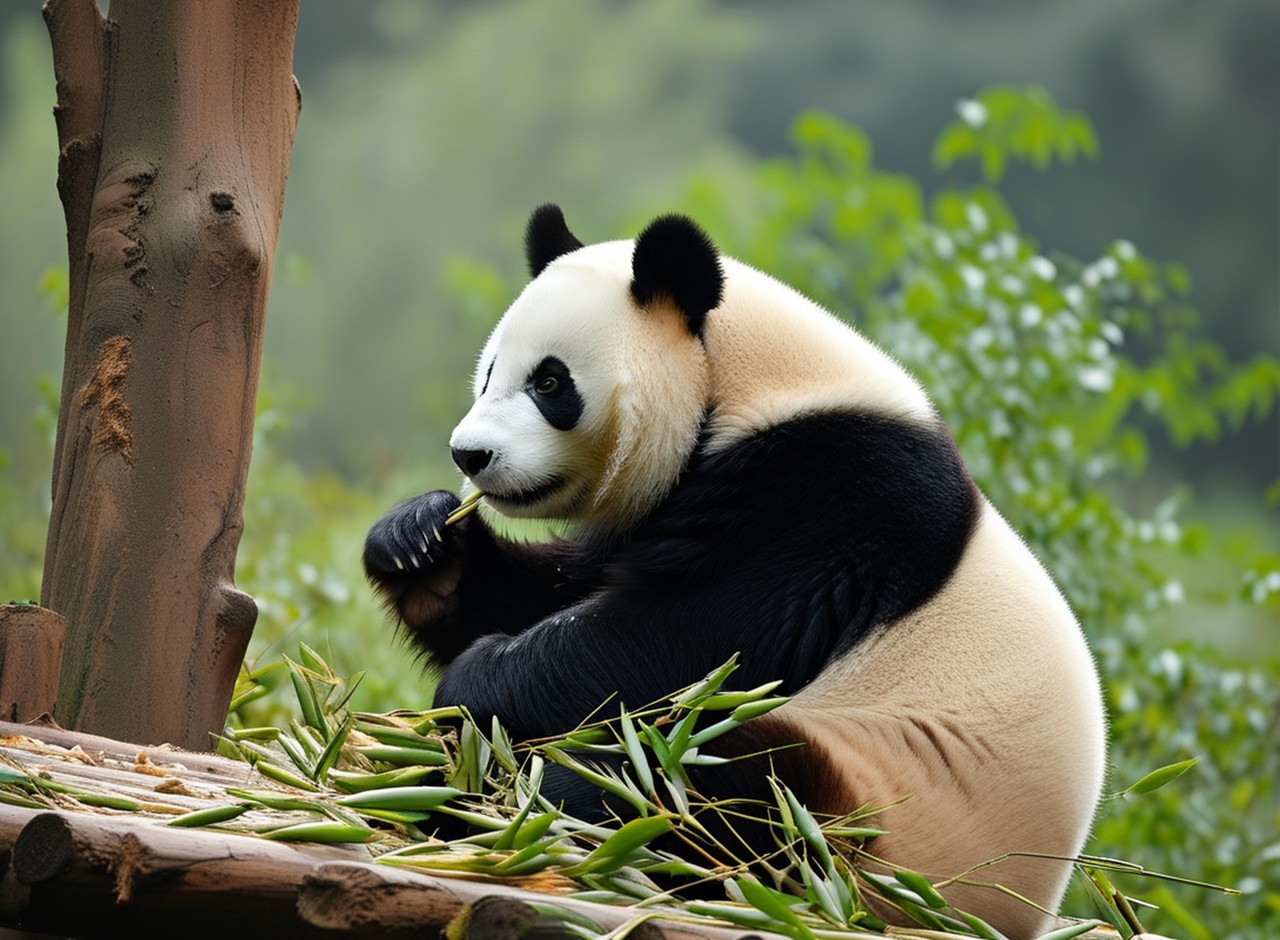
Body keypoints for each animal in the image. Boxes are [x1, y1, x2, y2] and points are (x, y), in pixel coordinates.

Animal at [363, 204, 1107, 937]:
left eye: (549, 382)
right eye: (489, 373)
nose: (471, 455)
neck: (747, 383)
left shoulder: (832, 499)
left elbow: (682, 639)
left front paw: (476, 681)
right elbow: (560, 591)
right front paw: (419, 543)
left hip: (878, 811)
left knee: (718, 788)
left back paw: (511, 801)